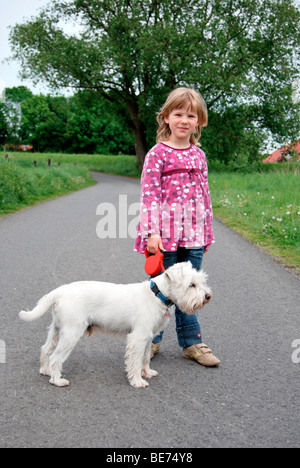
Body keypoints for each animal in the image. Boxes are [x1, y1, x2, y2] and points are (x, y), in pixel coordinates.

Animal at [19, 262, 211, 390]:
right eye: (191, 285)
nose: (208, 296)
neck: (157, 294)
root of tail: (59, 292)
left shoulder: (148, 337)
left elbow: (145, 358)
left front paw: (147, 372)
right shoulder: (138, 338)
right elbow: (135, 361)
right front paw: (137, 381)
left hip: (57, 330)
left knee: (45, 350)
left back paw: (45, 370)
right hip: (71, 333)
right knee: (55, 357)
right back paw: (57, 380)